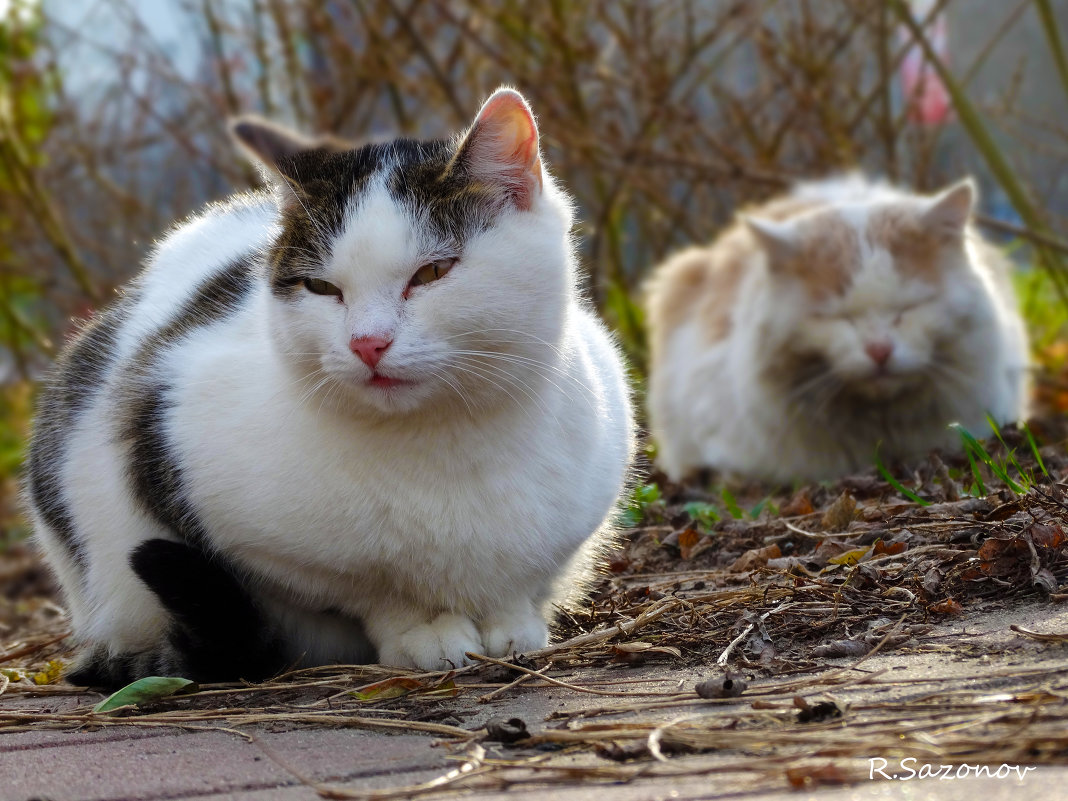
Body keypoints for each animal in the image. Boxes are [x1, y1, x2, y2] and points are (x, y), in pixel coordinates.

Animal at [27, 89, 632, 692]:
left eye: (432, 273)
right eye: (320, 287)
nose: (367, 343)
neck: (441, 444)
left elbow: (524, 577)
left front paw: (512, 623)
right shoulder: (167, 445)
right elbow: (367, 590)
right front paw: (424, 631)